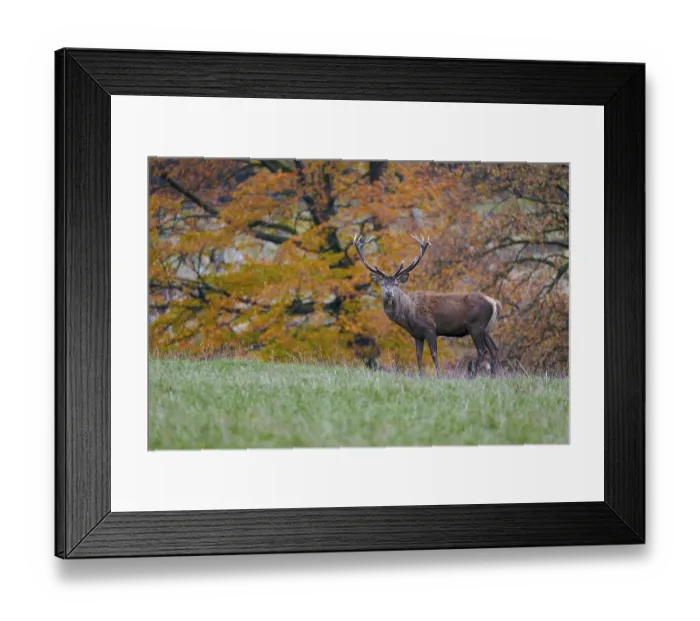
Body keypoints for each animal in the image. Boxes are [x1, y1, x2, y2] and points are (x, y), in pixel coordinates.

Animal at [354, 234, 502, 377]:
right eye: (383, 284)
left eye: (396, 284)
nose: (389, 293)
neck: (409, 315)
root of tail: (494, 302)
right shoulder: (417, 334)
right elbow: (418, 355)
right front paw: (420, 375)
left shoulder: (430, 328)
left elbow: (434, 354)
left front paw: (439, 376)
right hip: (486, 329)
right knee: (494, 349)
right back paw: (493, 376)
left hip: (476, 325)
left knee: (482, 350)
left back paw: (474, 376)